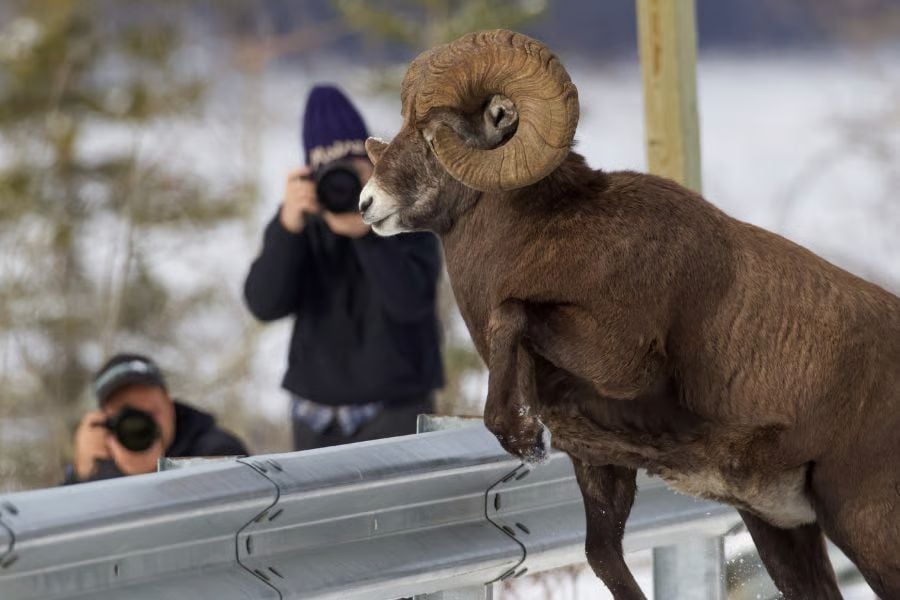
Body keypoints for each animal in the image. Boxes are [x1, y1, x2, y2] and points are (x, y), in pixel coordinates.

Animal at [358, 29, 900, 599]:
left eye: (435, 133)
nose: (368, 203)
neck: (539, 244)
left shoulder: (618, 364)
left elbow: (511, 314)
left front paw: (523, 439)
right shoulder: (600, 465)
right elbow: (603, 557)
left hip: (866, 525)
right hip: (780, 527)